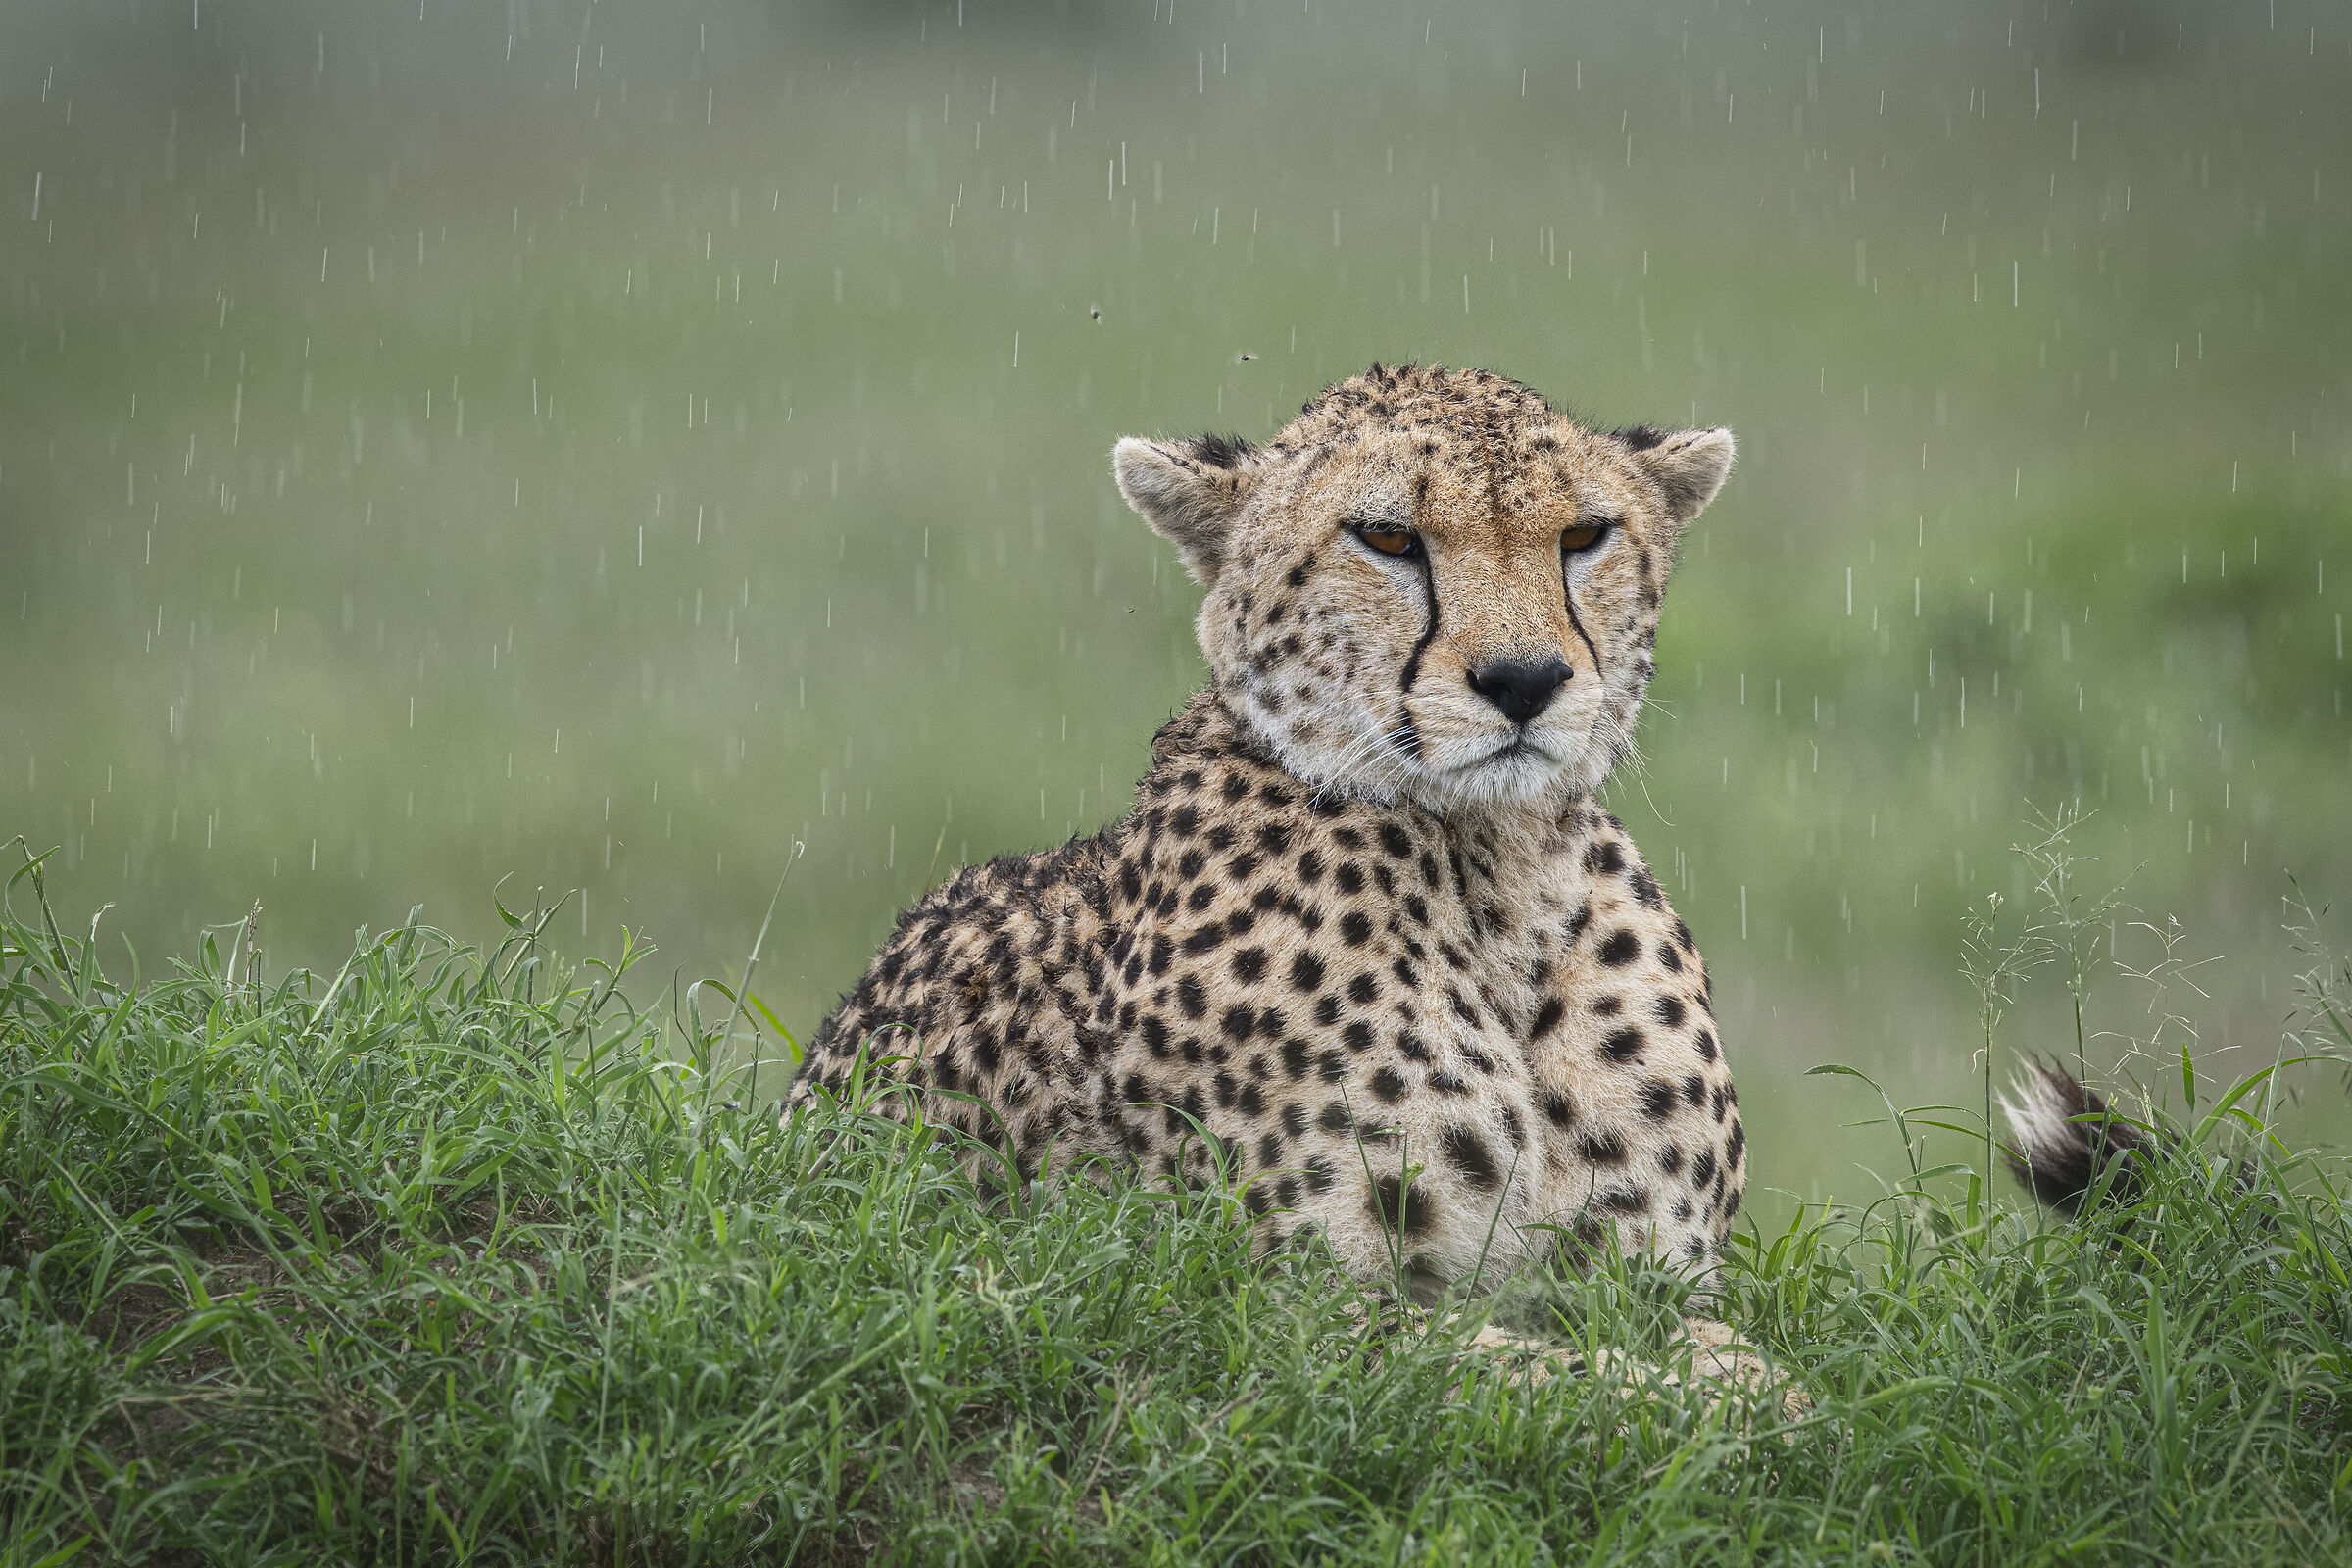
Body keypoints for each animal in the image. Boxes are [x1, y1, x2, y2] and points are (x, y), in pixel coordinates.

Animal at [785, 363, 1778, 1402]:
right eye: (1387, 538)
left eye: (1584, 536)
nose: (1524, 680)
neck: (1501, 873)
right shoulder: (1278, 1312)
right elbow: (1569, 1376)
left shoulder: (1656, 1286)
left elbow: (1735, 1363)